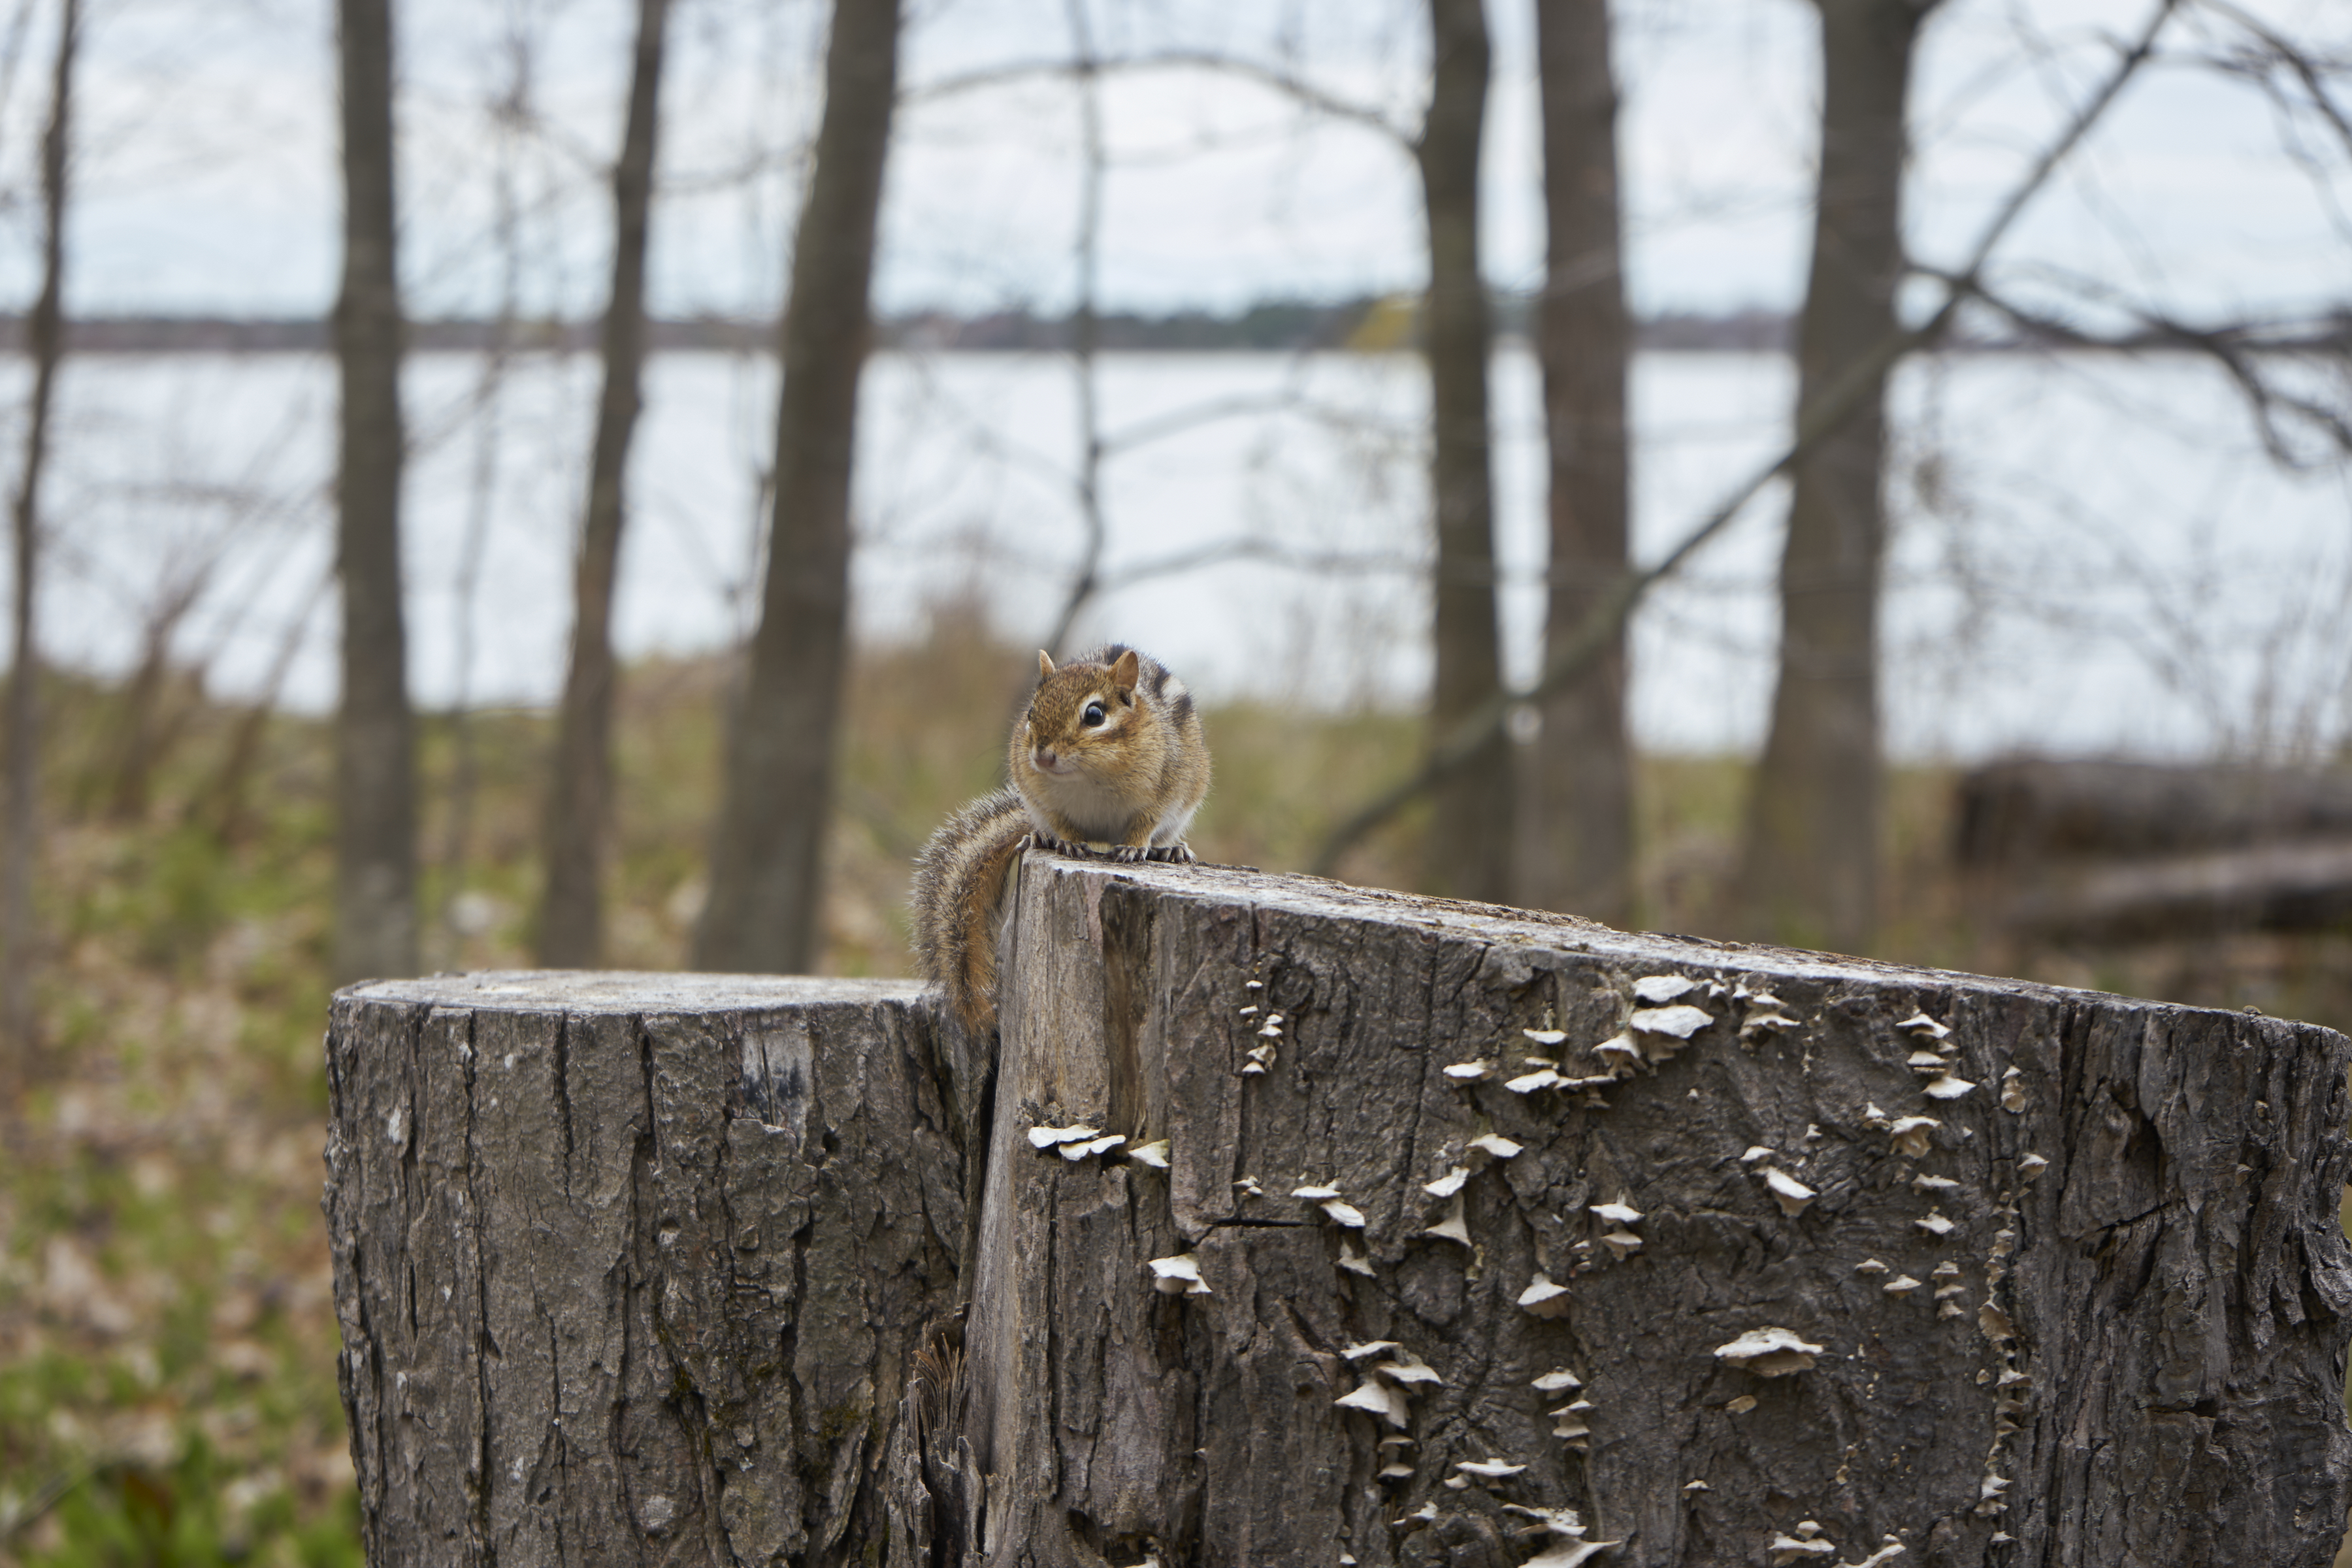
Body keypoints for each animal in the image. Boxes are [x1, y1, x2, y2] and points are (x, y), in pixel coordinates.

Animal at [912, 644, 1211, 1034]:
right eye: (1031, 712)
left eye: (1095, 715)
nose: (1042, 754)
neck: (1091, 776)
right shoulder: (1042, 798)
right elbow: (1060, 822)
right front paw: (1065, 841)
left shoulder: (1164, 788)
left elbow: (1145, 823)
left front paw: (1135, 846)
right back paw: (1038, 837)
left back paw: (1172, 848)